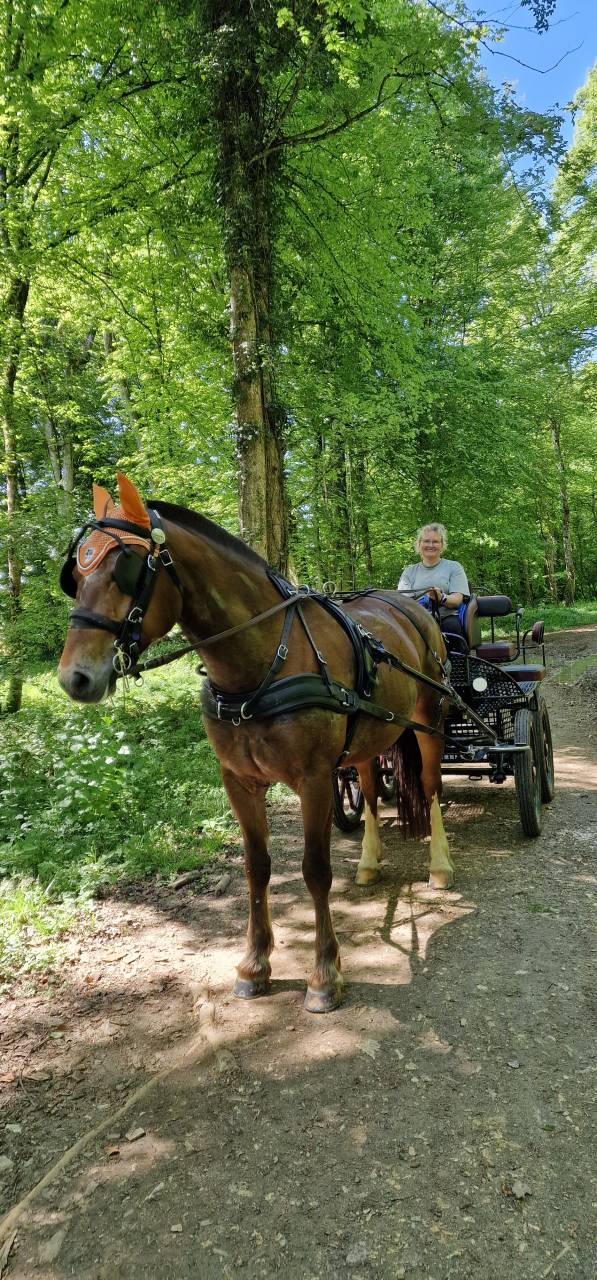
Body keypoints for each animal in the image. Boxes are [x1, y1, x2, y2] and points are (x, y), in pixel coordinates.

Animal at [58, 473, 455, 1013]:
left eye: (127, 570)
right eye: (74, 578)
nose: (74, 678)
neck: (263, 661)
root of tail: (415, 602)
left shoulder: (314, 779)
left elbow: (315, 869)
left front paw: (323, 974)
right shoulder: (239, 781)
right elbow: (257, 867)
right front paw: (254, 964)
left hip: (428, 718)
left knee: (432, 787)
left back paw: (440, 866)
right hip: (371, 736)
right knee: (372, 792)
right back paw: (370, 863)